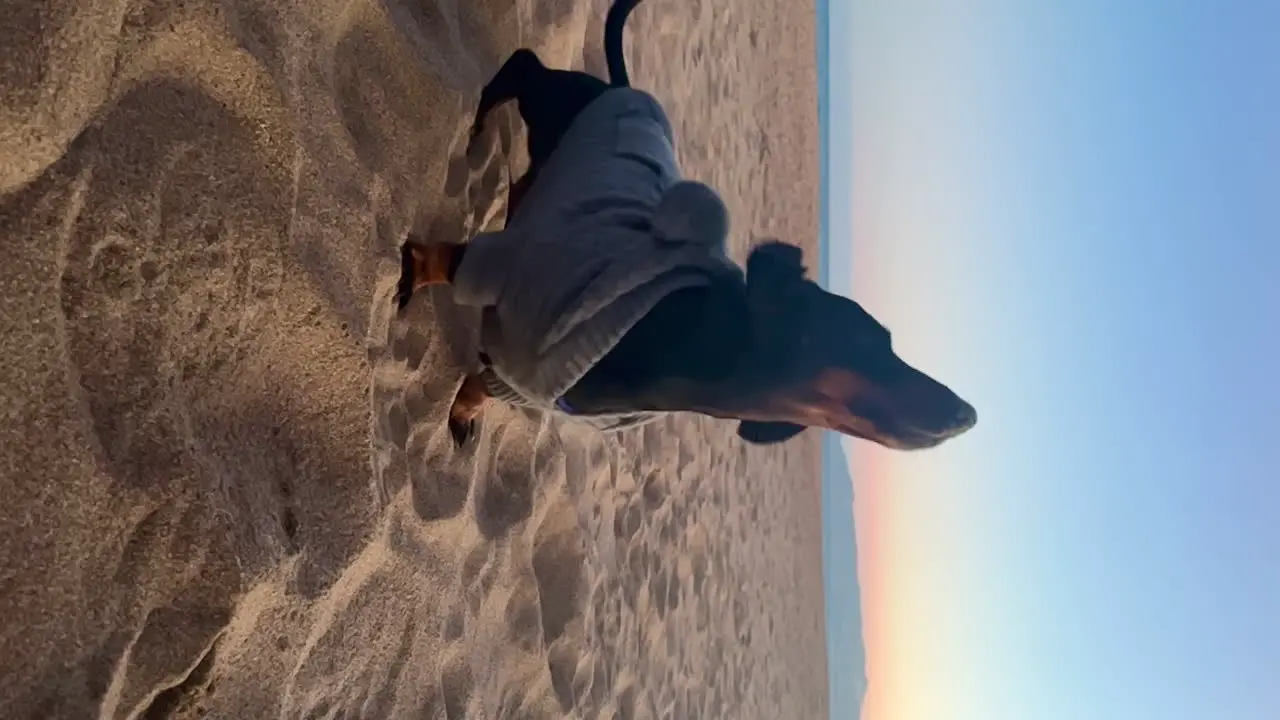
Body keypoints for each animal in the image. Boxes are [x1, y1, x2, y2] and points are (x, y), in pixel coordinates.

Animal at [399, 0, 977, 448]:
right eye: (867, 341)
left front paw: (463, 413)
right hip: (553, 104)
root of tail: (626, 87)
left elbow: (480, 384)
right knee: (524, 67)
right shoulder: (516, 272)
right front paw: (413, 274)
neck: (678, 335)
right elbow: (442, 259)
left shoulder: (524, 379)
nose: (967, 415)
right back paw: (479, 121)